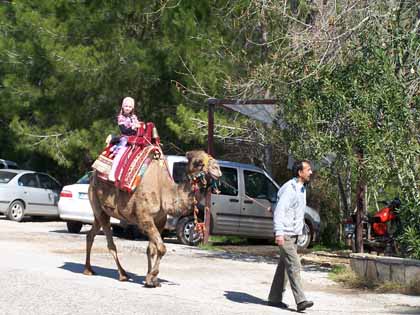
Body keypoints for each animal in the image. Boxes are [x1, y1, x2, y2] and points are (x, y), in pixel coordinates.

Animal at [85, 151, 223, 288]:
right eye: (198, 162)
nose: (217, 169)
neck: (163, 191)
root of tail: (92, 176)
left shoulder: (160, 221)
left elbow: (151, 249)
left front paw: (151, 280)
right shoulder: (145, 218)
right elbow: (162, 248)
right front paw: (152, 276)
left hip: (100, 212)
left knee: (91, 234)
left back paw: (88, 269)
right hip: (98, 204)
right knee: (110, 243)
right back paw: (122, 274)